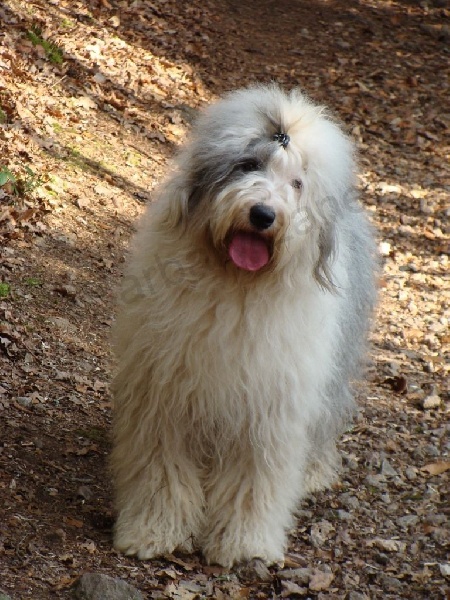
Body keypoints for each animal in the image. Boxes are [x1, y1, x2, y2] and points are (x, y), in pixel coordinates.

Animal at [111, 84, 377, 568]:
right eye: (249, 165)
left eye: (297, 184)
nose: (263, 215)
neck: (238, 287)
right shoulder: (164, 395)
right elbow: (161, 469)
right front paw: (154, 531)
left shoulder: (270, 410)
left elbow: (255, 480)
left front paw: (244, 544)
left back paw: (314, 472)